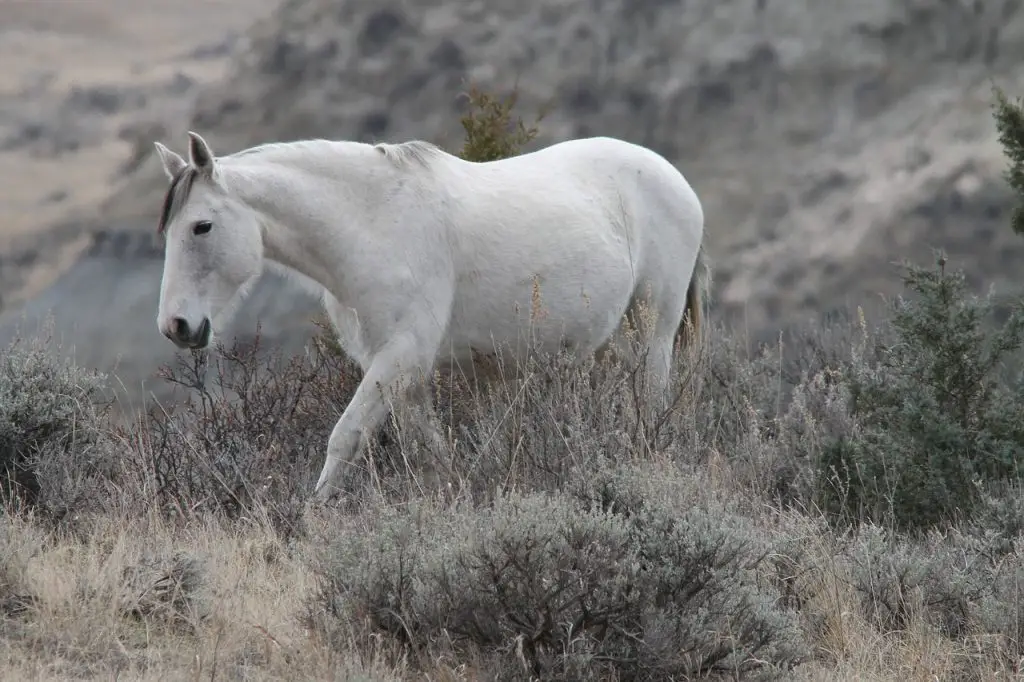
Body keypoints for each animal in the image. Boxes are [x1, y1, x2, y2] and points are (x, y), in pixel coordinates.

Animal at [153, 130, 712, 499]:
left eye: (201, 226)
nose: (176, 327)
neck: (373, 223)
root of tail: (674, 178)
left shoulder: (400, 356)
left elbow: (345, 437)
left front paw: (313, 517)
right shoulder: (398, 368)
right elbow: (430, 452)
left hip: (653, 331)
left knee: (652, 403)